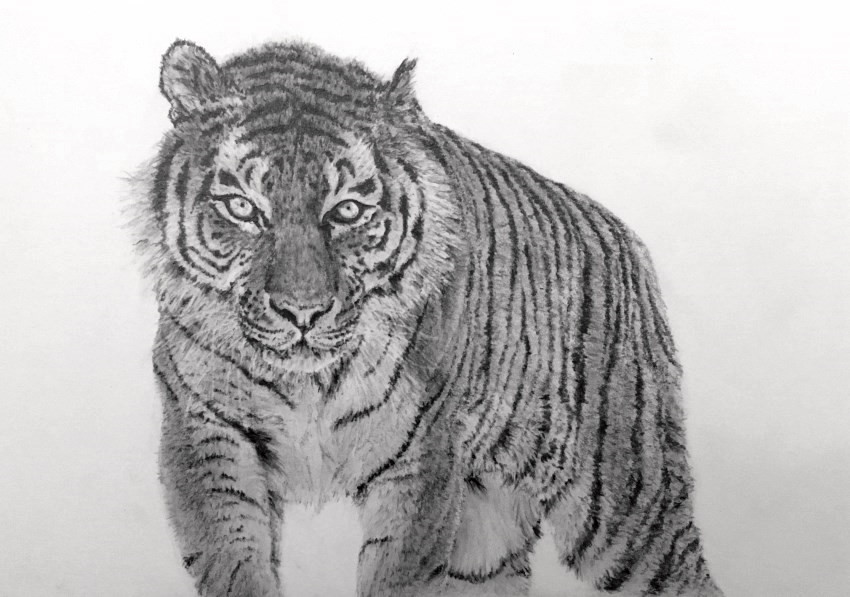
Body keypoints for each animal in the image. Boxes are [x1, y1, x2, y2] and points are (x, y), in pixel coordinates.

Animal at [130, 38, 725, 597]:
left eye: (347, 210)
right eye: (243, 208)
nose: (303, 311)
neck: (307, 383)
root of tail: (623, 237)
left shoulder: (419, 460)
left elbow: (397, 576)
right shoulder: (207, 441)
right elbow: (235, 567)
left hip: (624, 507)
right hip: (487, 531)